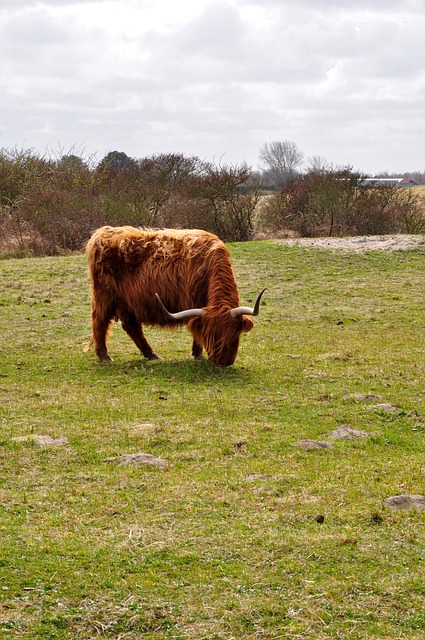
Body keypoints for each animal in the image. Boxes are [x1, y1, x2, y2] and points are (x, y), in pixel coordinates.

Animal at [86, 225, 264, 364]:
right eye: (211, 335)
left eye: (233, 334)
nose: (223, 361)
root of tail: (103, 232)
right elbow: (196, 329)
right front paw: (198, 355)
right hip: (105, 296)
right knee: (100, 322)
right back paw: (104, 356)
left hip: (128, 302)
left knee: (131, 326)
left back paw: (151, 355)